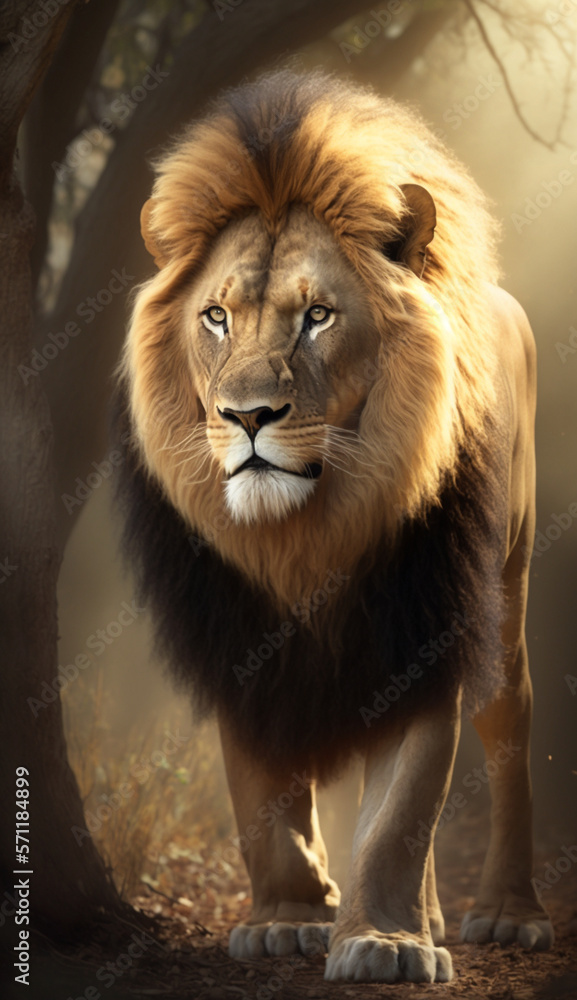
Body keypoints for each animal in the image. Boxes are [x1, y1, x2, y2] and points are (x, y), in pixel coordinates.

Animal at [112, 70, 553, 983]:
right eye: (215, 317)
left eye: (317, 316)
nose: (246, 416)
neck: (309, 533)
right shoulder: (237, 629)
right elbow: (259, 795)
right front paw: (289, 917)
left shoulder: (425, 616)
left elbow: (402, 811)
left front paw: (382, 942)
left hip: (507, 593)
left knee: (507, 732)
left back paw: (505, 912)